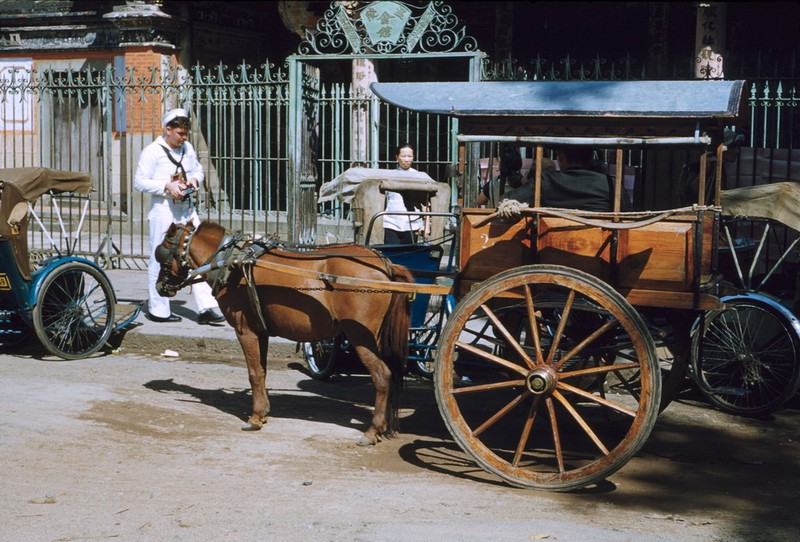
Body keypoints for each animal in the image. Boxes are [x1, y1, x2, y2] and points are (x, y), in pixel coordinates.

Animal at [155, 221, 412, 446]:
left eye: (162, 253)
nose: (159, 287)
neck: (232, 260)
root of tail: (385, 265)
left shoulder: (246, 331)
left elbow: (253, 373)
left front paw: (255, 418)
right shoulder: (261, 331)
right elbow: (262, 371)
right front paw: (263, 412)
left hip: (361, 338)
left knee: (382, 376)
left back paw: (372, 430)